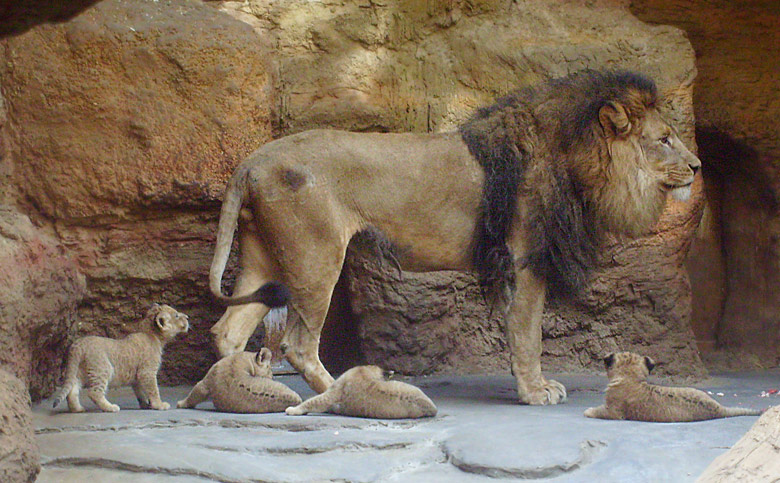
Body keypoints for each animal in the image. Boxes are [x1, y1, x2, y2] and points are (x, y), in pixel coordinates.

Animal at [209, 71, 700, 404]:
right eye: (664, 139)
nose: (697, 166)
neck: (578, 158)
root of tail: (252, 160)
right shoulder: (523, 257)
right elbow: (528, 331)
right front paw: (535, 391)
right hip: (316, 258)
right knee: (297, 344)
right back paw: (338, 394)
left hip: (265, 259)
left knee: (228, 331)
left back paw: (236, 388)